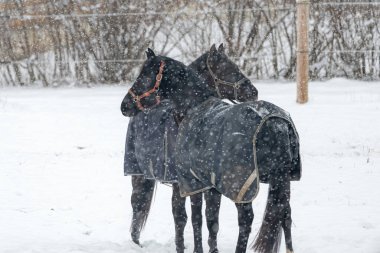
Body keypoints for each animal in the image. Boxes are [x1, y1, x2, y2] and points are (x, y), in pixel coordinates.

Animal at [121, 50, 300, 253]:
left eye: (145, 76)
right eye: (228, 68)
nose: (124, 105)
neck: (192, 108)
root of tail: (276, 122)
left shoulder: (191, 182)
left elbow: (194, 218)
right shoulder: (209, 184)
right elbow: (210, 219)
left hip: (242, 187)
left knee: (246, 220)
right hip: (281, 181)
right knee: (285, 215)